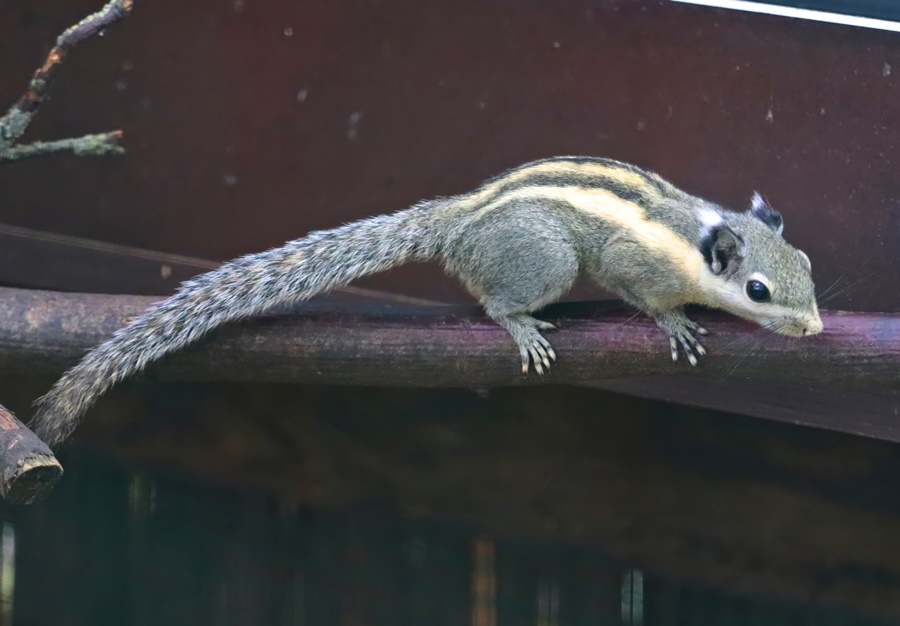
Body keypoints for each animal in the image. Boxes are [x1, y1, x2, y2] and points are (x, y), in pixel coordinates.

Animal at [30, 156, 822, 445]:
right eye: (758, 289)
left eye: (809, 267)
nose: (814, 328)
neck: (693, 239)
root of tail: (458, 220)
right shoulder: (636, 261)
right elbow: (644, 296)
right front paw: (674, 320)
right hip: (547, 260)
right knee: (498, 303)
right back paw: (520, 325)